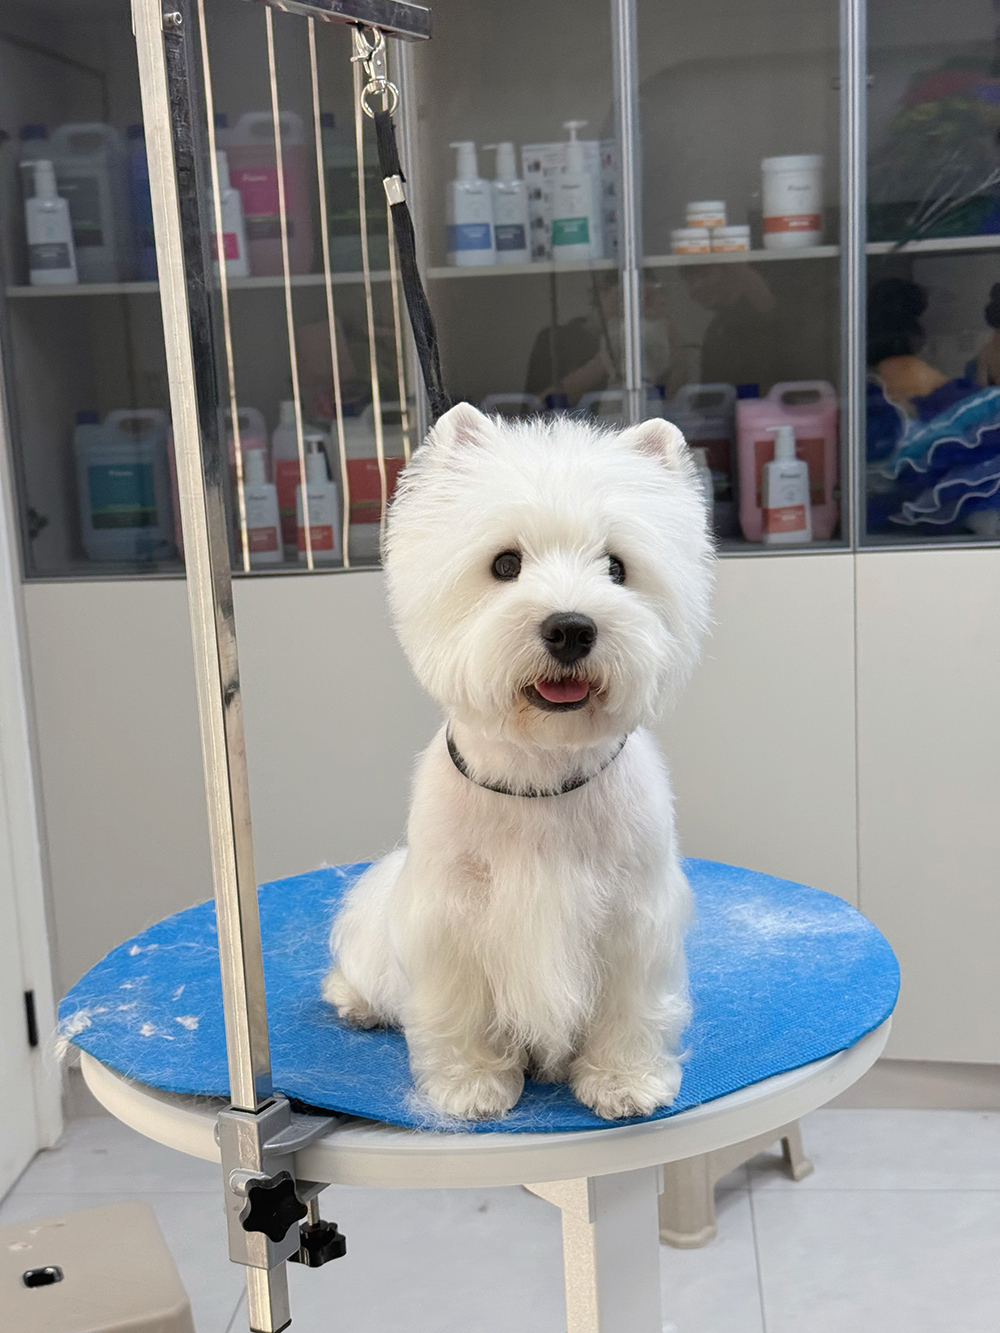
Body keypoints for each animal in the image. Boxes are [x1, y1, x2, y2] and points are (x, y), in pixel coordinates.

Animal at [323, 402, 713, 1120]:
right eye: (505, 563)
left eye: (617, 567)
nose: (571, 627)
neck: (542, 770)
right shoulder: (450, 918)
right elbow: (461, 1011)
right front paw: (471, 1085)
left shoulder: (633, 915)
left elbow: (628, 1009)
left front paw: (624, 1081)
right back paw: (357, 1003)